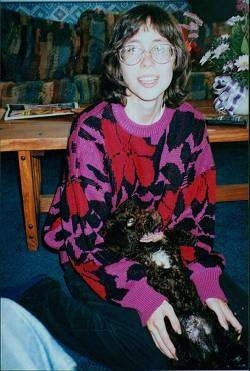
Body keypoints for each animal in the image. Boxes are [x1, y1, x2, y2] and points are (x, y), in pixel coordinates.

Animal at [102, 199, 248, 370]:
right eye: (130, 221)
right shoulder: (154, 274)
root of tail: (211, 354)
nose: (133, 200)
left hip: (223, 330)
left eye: (133, 211)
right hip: (182, 357)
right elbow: (162, 273)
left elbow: (170, 235)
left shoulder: (170, 249)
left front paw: (188, 237)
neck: (148, 246)